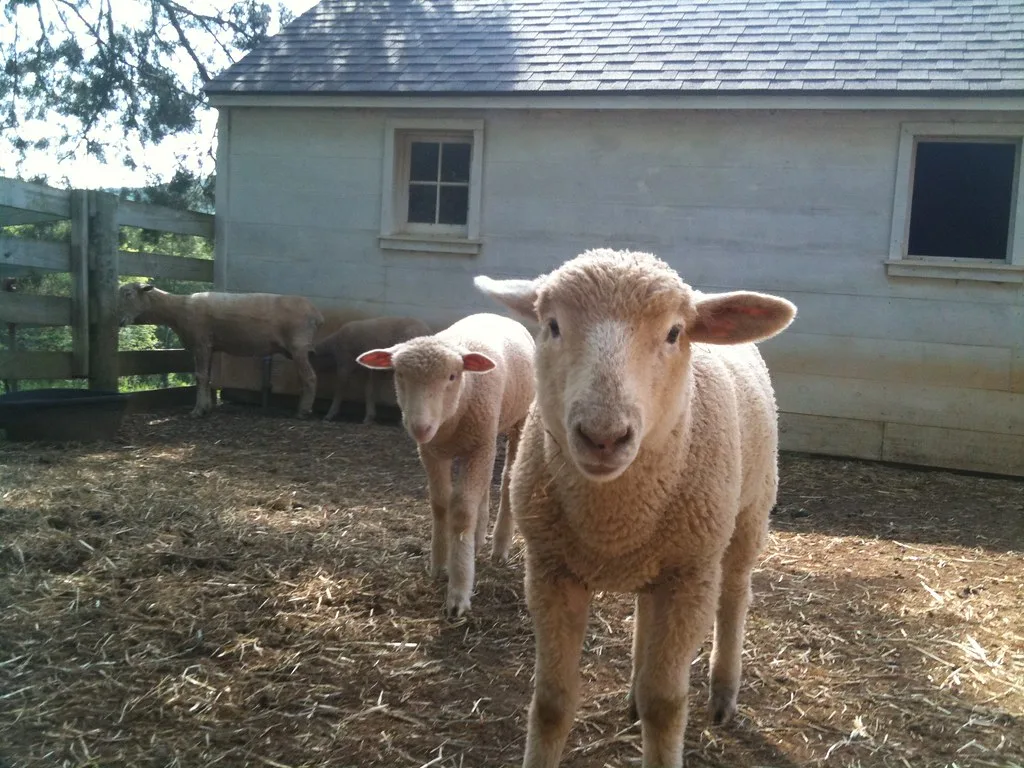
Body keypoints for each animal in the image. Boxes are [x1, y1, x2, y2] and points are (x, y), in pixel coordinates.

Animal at [117, 282, 324, 419]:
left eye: (128, 294)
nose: (119, 321)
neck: (178, 310)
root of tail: (316, 313)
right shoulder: (209, 346)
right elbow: (207, 377)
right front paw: (207, 407)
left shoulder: (200, 343)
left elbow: (200, 376)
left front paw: (198, 410)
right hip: (303, 349)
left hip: (298, 346)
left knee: (310, 377)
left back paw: (303, 411)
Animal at [357, 313, 536, 617]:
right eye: (399, 374)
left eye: (452, 376)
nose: (420, 427)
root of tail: (495, 314)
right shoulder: (432, 451)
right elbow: (440, 504)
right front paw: (440, 564)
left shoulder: (478, 445)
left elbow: (461, 511)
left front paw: (459, 589)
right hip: (482, 440)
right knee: (483, 489)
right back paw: (478, 539)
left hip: (516, 423)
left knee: (507, 479)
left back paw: (499, 547)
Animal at [474, 249, 796, 768]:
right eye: (552, 325)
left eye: (674, 333)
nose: (603, 436)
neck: (613, 523)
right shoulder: (549, 571)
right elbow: (551, 703)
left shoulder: (689, 576)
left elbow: (664, 704)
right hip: (659, 558)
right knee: (647, 614)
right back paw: (633, 694)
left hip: (749, 510)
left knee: (735, 596)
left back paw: (723, 692)